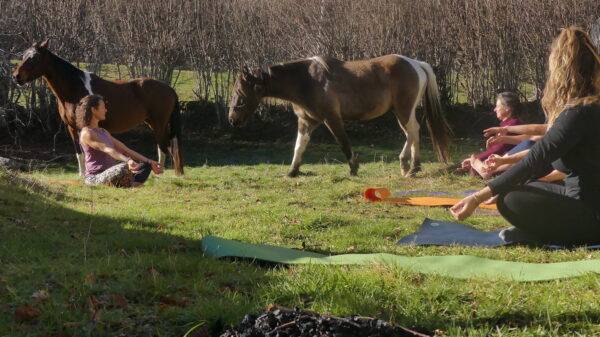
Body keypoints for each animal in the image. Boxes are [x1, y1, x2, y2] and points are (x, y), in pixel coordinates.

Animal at [11, 39, 183, 175]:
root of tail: (170, 89)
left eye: (34, 58)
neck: (75, 89)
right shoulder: (71, 127)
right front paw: (82, 175)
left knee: (164, 147)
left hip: (158, 124)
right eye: (24, 55)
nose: (16, 77)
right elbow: (79, 152)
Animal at [229, 53, 450, 176]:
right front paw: (292, 171)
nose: (232, 119)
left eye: (240, 92)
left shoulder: (331, 118)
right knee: (413, 132)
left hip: (403, 110)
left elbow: (343, 142)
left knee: (412, 131)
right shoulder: (306, 121)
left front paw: (353, 168)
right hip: (404, 111)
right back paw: (414, 167)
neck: (306, 80)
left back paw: (405, 164)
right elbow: (299, 147)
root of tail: (416, 64)